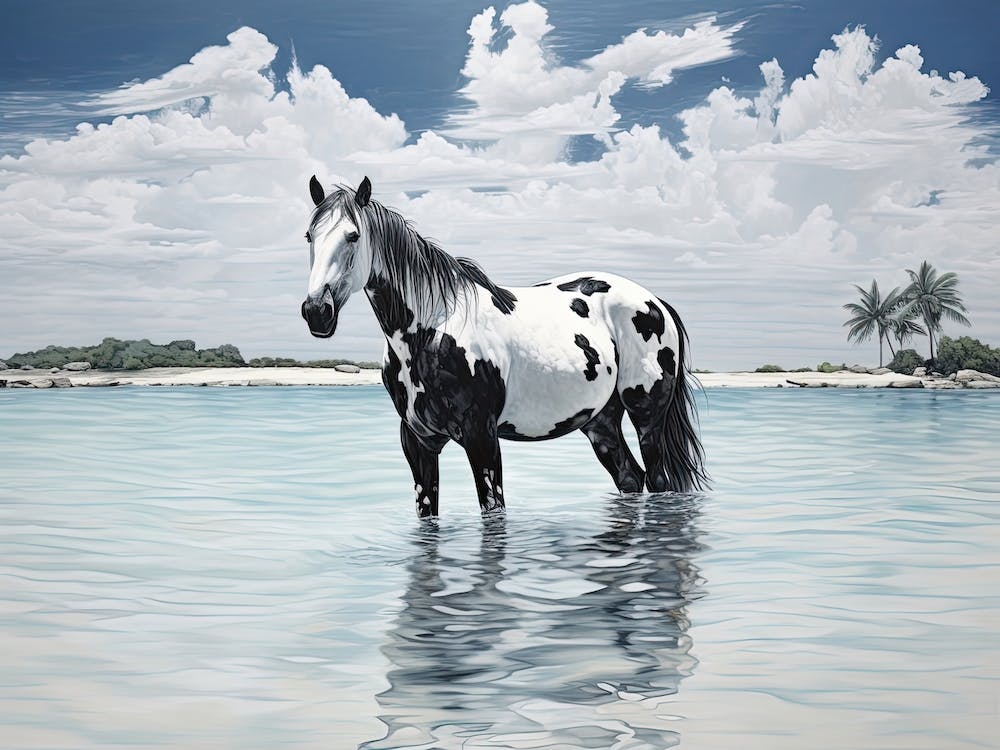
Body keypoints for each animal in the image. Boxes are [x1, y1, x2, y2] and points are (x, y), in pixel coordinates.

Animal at [300, 176, 707, 517]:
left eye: (353, 236)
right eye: (309, 236)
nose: (316, 311)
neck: (432, 329)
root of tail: (655, 302)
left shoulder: (482, 437)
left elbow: (493, 512)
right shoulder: (418, 443)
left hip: (647, 417)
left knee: (657, 480)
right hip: (600, 421)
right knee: (629, 478)